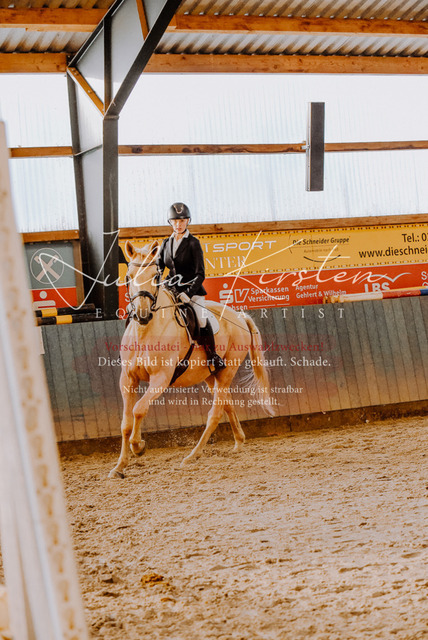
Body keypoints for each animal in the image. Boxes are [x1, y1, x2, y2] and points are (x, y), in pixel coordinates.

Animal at [109, 239, 275, 479]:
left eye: (156, 276)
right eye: (129, 276)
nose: (142, 314)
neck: (145, 331)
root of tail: (238, 316)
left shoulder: (161, 379)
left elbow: (139, 409)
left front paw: (139, 447)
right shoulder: (128, 379)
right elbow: (125, 423)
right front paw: (119, 467)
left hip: (227, 371)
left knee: (215, 413)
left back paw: (192, 456)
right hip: (210, 376)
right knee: (226, 404)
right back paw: (238, 442)